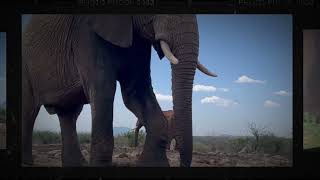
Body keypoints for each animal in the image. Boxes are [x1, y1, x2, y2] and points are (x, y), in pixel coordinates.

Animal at [21, 14, 218, 167]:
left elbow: (136, 91)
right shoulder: (85, 32)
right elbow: (103, 87)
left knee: (69, 114)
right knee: (30, 111)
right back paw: (28, 162)